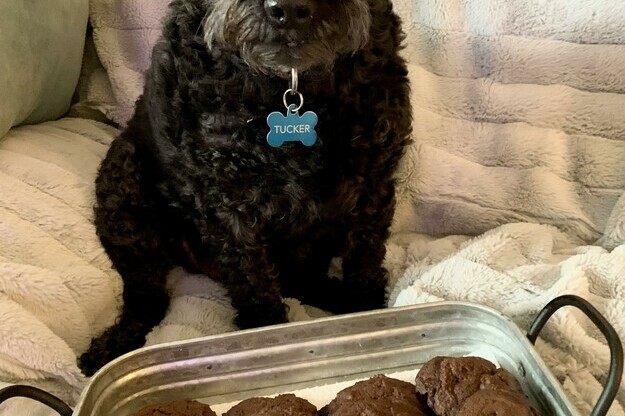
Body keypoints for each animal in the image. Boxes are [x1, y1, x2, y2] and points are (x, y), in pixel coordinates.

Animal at [80, 0, 412, 374]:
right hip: (123, 188)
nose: (289, 8)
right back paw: (111, 347)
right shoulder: (226, 202)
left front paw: (368, 314)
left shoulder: (372, 181)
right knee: (147, 299)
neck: (291, 84)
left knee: (302, 279)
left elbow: (365, 261)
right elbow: (253, 284)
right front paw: (264, 341)